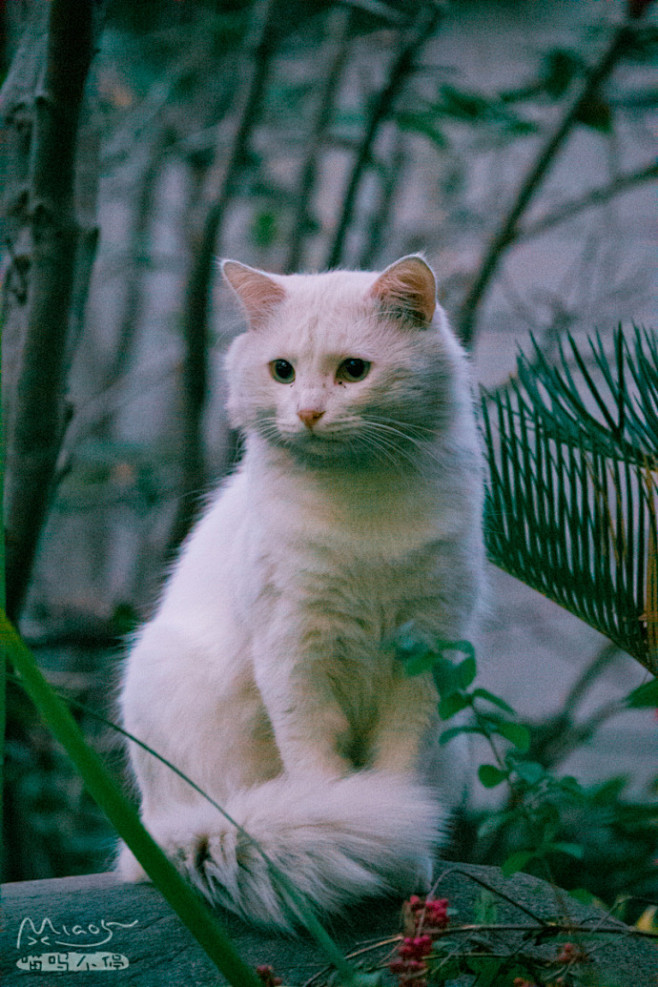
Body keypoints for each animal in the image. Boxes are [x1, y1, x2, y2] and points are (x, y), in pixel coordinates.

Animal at [118, 253, 484, 928]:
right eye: (282, 371)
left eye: (354, 371)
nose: (309, 413)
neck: (363, 504)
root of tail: (149, 837)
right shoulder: (296, 655)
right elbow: (320, 770)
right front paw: (366, 831)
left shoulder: (424, 657)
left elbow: (398, 769)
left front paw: (405, 855)